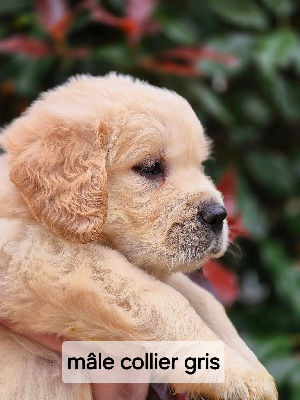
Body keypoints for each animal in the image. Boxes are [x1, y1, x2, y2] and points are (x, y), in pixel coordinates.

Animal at [0, 73, 276, 398]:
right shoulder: (33, 252)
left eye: (200, 166)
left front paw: (249, 364)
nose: (219, 215)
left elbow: (204, 299)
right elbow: (160, 300)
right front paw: (239, 374)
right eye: (150, 167)